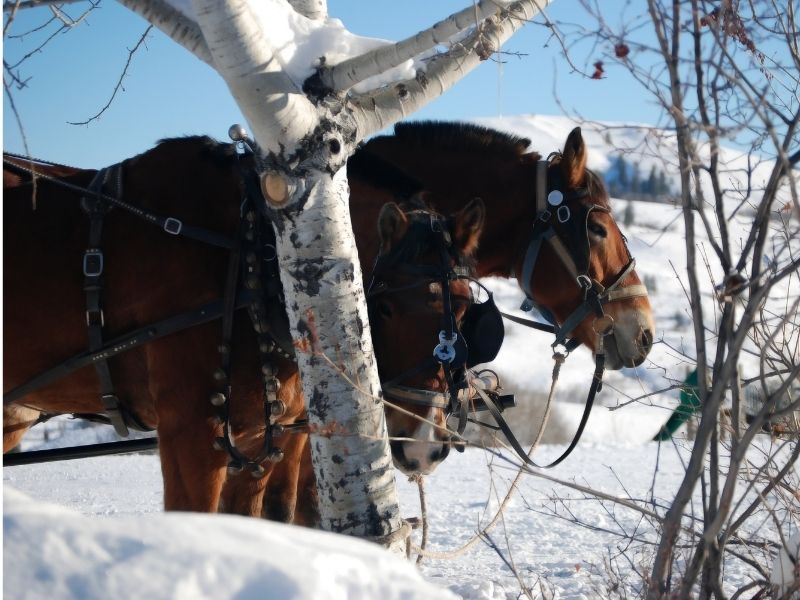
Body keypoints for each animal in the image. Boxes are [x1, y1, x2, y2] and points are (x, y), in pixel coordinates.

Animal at [3, 139, 482, 520]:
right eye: (382, 306)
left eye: (462, 309)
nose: (424, 445)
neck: (252, 258)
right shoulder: (193, 431)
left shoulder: (262, 442)